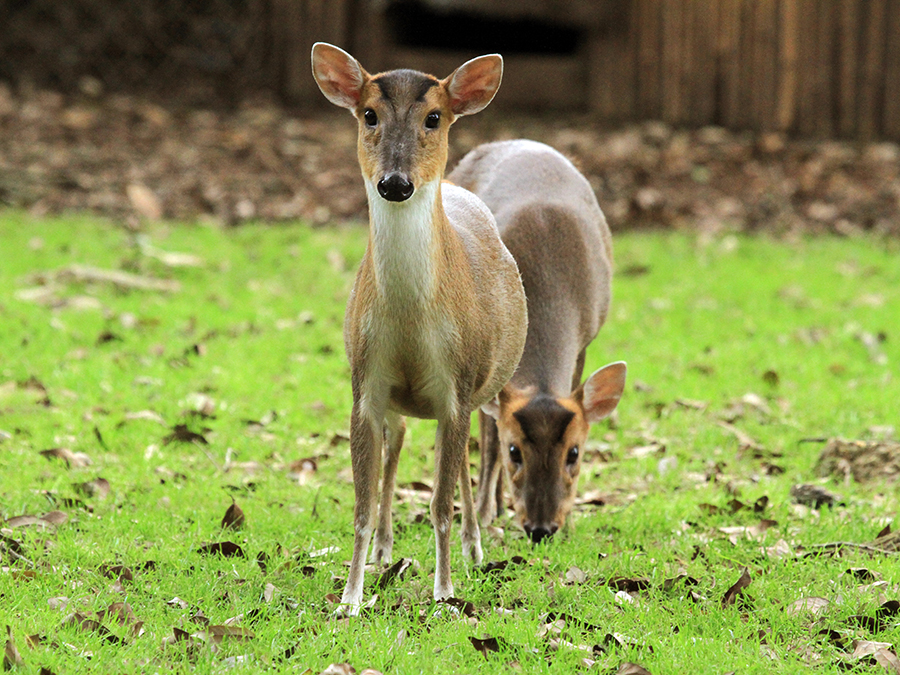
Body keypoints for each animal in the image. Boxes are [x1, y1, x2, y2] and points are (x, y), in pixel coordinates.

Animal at [312, 45, 532, 616]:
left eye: (435, 117)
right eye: (368, 114)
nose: (395, 183)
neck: (411, 321)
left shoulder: (456, 384)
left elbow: (439, 503)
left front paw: (445, 591)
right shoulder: (364, 384)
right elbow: (362, 505)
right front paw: (350, 599)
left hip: (481, 386)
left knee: (464, 462)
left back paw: (475, 548)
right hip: (398, 399)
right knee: (399, 447)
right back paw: (386, 550)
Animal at [448, 140, 624, 548]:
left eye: (574, 452)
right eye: (515, 450)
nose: (541, 528)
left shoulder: (584, 340)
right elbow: (489, 439)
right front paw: (483, 514)